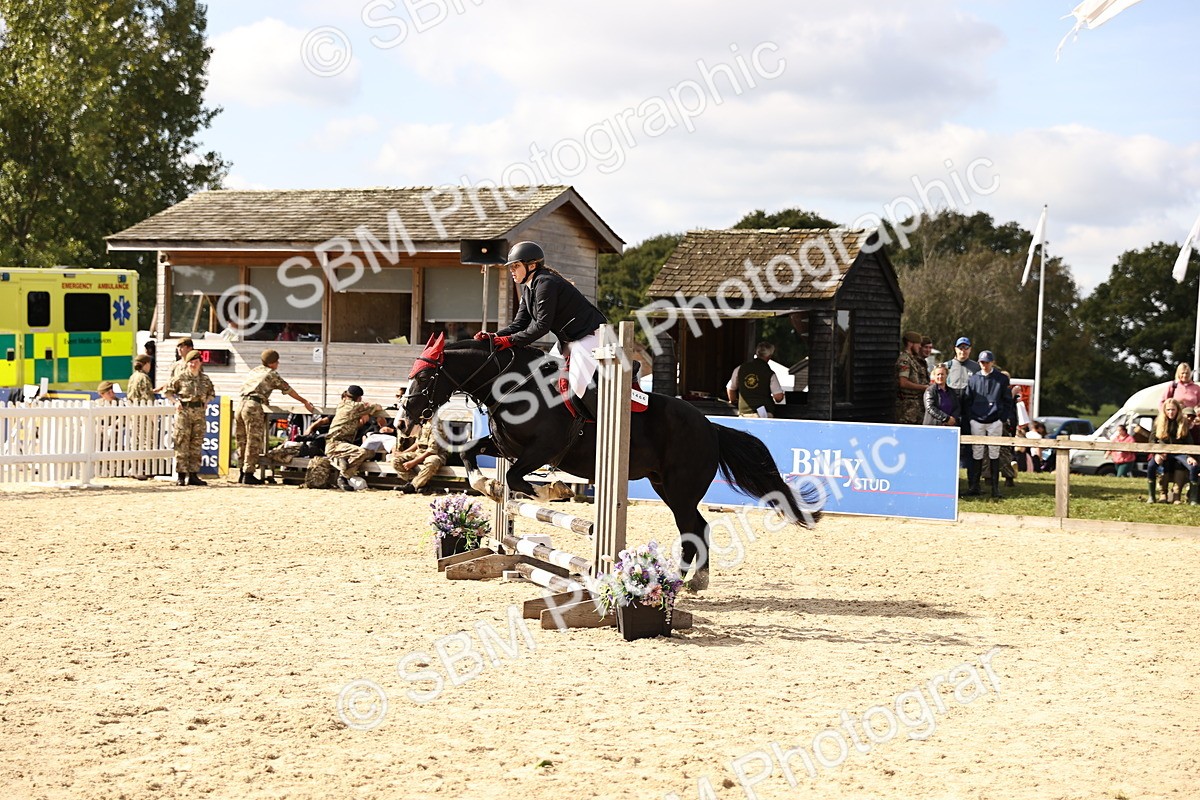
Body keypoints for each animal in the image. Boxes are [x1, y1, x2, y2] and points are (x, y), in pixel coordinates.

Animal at [399, 336, 821, 589]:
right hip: (664, 486)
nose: (404, 419)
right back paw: (687, 580)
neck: (515, 387)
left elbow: (521, 477)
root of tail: (711, 427)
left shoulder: (543, 449)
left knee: (696, 527)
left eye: (426, 376)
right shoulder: (504, 446)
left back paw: (691, 581)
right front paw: (489, 486)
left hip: (681, 488)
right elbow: (470, 453)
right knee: (693, 528)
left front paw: (546, 489)